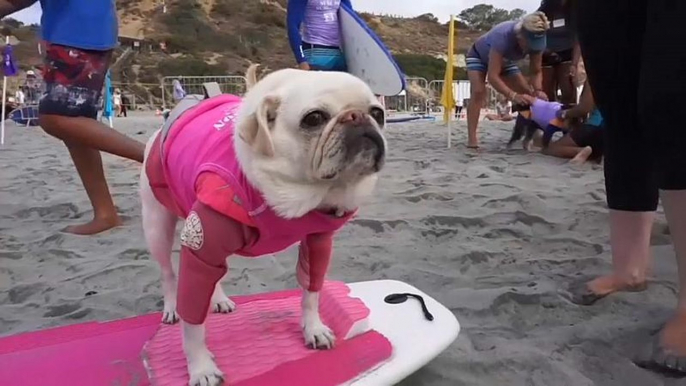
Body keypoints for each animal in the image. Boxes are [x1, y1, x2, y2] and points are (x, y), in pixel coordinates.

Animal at [140, 67, 388, 386]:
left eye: (378, 113)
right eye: (314, 118)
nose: (357, 116)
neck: (305, 192)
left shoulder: (318, 242)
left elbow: (312, 291)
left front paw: (313, 329)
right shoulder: (201, 242)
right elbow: (192, 323)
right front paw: (201, 368)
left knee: (214, 275)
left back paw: (219, 300)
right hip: (157, 225)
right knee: (169, 274)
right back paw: (171, 307)